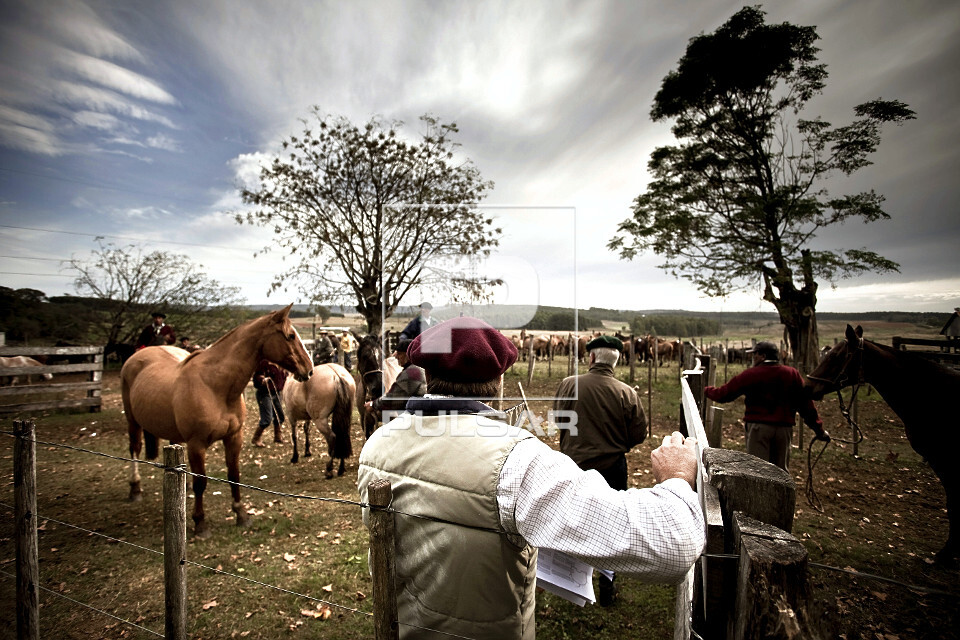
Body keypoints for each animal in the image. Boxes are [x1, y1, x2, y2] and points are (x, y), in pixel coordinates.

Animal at [120, 308, 314, 536]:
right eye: (291, 336)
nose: (309, 369)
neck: (215, 385)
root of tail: (138, 356)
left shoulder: (233, 437)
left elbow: (233, 474)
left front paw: (241, 513)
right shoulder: (197, 444)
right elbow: (201, 482)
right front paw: (200, 522)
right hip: (132, 421)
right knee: (134, 448)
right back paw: (135, 488)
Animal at [808, 324, 960, 564]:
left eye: (835, 356)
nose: (807, 385)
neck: (930, 393)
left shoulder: (944, 458)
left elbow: (953, 503)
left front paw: (945, 554)